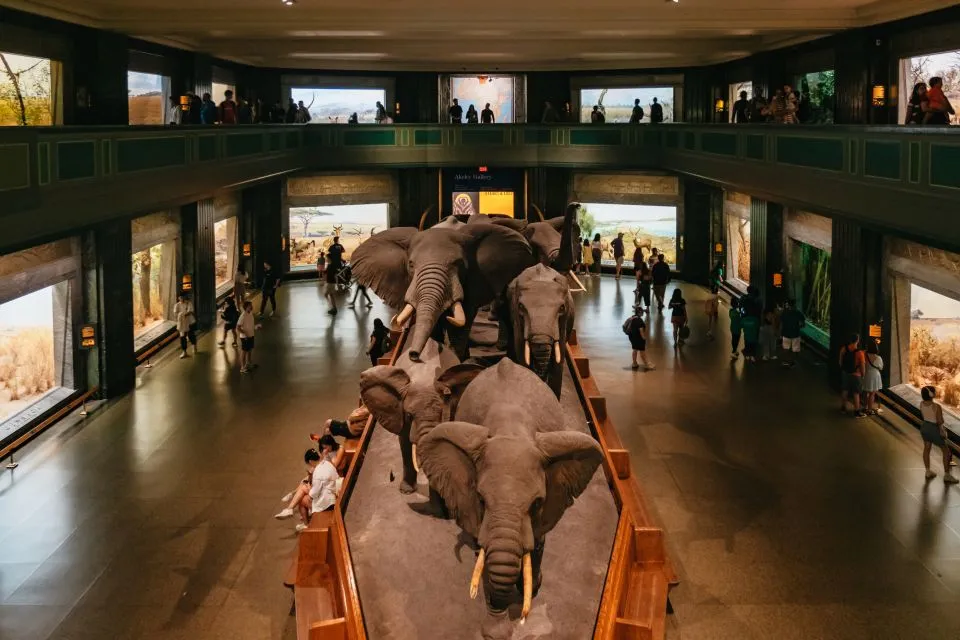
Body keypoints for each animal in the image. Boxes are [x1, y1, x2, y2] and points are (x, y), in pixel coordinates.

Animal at [350, 218, 532, 362]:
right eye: (411, 265)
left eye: (460, 264)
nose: (413, 355)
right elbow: (436, 323)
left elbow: (460, 323)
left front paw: (456, 361)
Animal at [418, 358, 600, 636]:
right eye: (481, 500)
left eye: (536, 503)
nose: (521, 618)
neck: (510, 430)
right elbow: (489, 553)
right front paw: (495, 632)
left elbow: (537, 540)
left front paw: (532, 589)